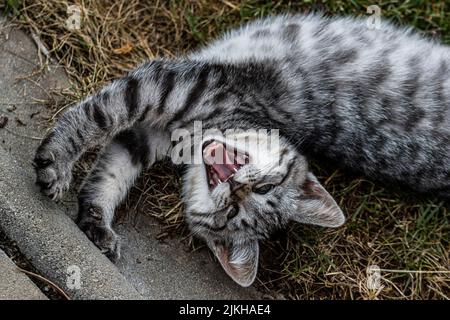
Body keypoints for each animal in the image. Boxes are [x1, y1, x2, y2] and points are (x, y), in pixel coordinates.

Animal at [33, 13, 450, 286]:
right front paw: (62, 163)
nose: (237, 187)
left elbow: (110, 168)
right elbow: (100, 117)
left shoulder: (153, 119)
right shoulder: (167, 89)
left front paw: (93, 217)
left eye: (232, 213)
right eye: (264, 188)